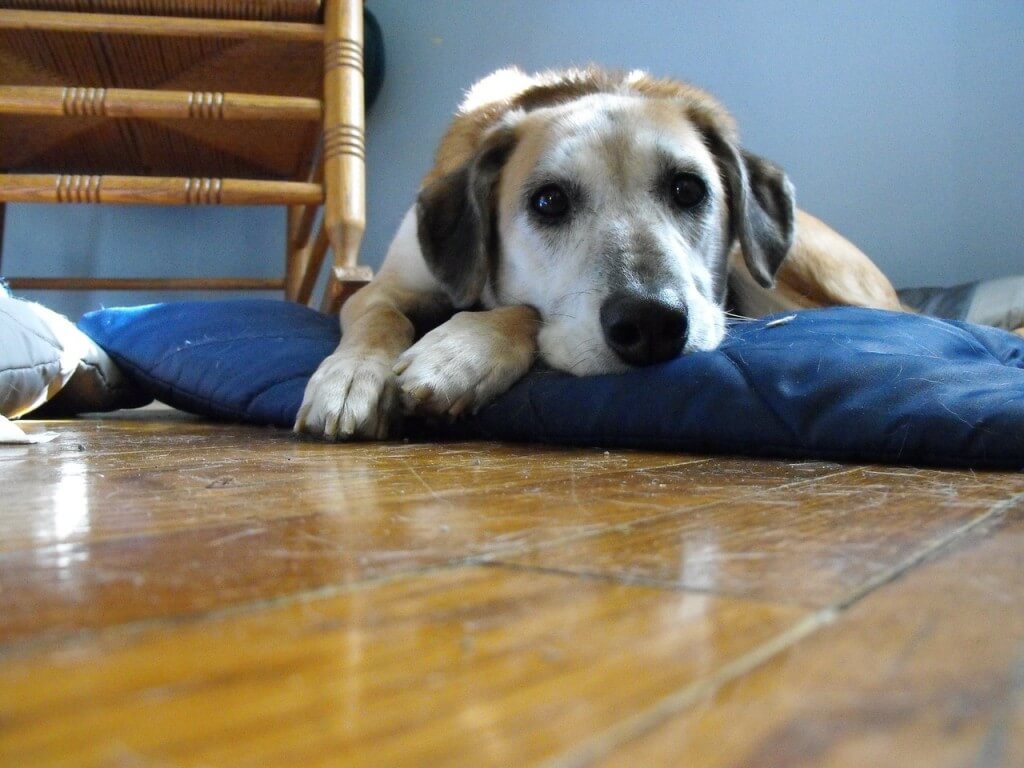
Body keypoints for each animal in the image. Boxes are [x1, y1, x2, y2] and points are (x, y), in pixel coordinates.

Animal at [292, 69, 901, 442]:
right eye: (548, 201)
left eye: (688, 189)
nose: (651, 323)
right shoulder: (386, 285)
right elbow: (379, 317)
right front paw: (352, 377)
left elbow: (524, 310)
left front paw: (459, 354)